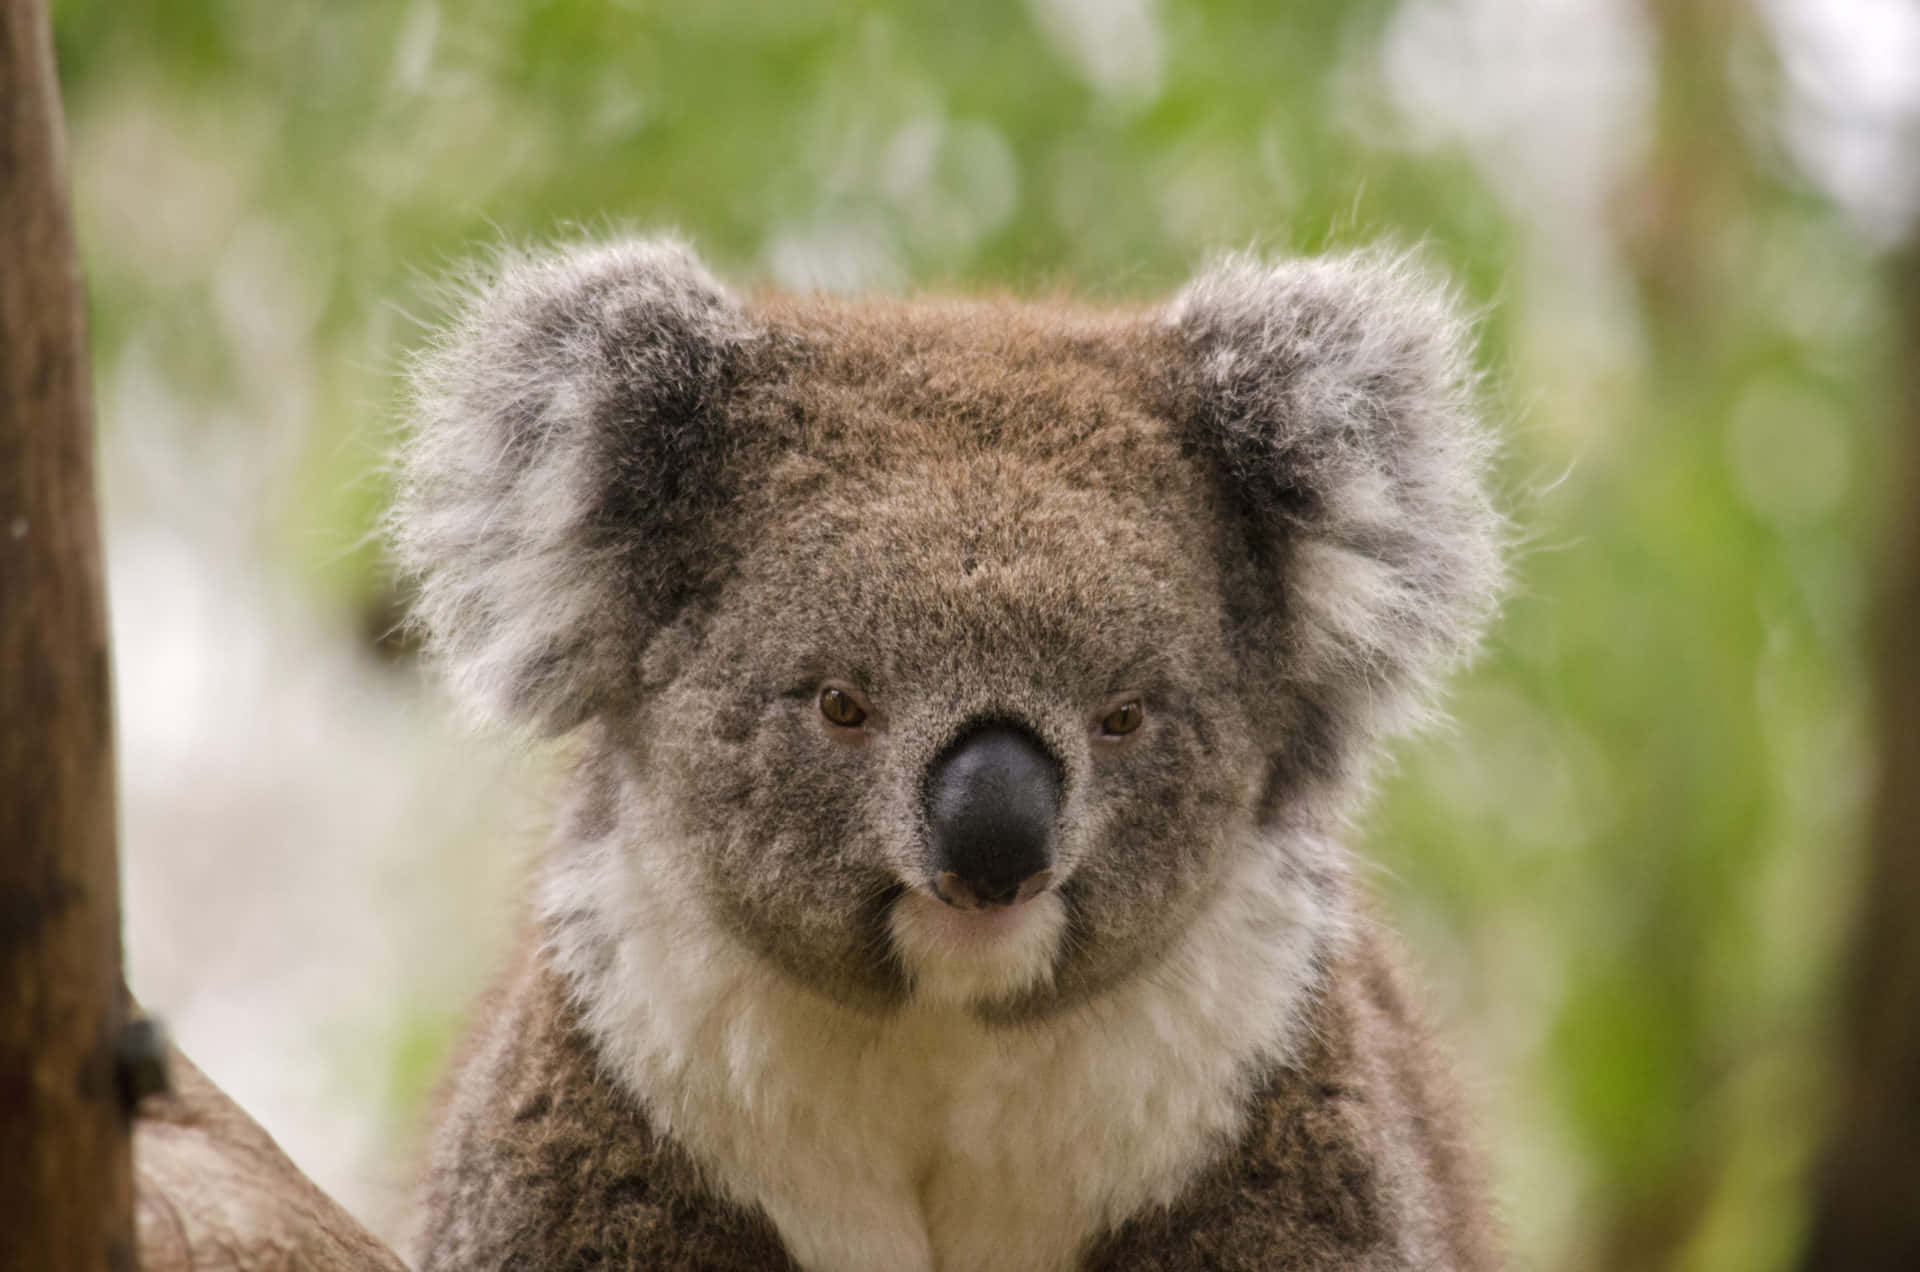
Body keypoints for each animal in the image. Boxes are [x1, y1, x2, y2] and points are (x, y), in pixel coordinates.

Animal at [392, 237, 1504, 1271]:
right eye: (840, 705)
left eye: (1124, 715)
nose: (995, 849)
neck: (947, 1020)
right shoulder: (630, 1079)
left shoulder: (1250, 1085)